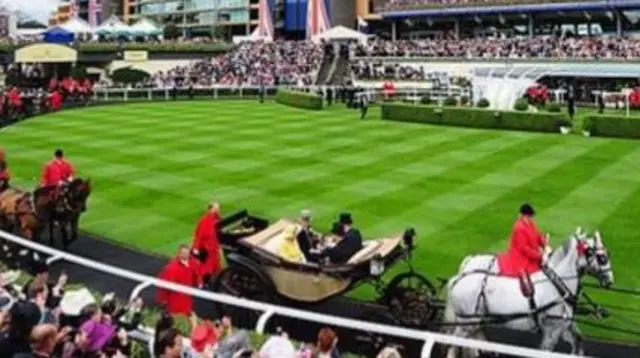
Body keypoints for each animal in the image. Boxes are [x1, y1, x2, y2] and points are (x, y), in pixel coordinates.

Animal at [444, 229, 616, 358]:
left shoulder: (564, 326)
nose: (609, 280)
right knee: (453, 343)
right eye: (602, 257)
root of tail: (459, 278)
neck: (556, 286)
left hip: (474, 320)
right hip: (467, 321)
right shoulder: (552, 330)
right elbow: (544, 352)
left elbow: (578, 342)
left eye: (607, 255)